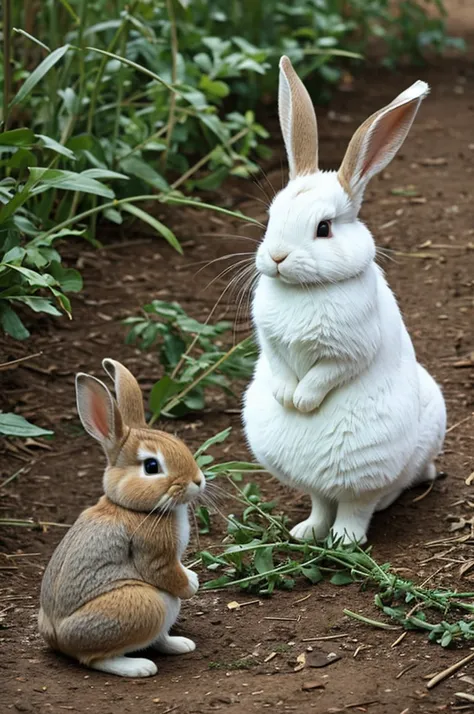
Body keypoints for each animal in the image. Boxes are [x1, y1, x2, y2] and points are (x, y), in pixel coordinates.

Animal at [38, 358, 205, 676]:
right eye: (151, 466)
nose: (198, 481)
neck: (131, 506)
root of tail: (57, 638)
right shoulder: (156, 554)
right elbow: (167, 573)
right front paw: (192, 585)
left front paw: (193, 578)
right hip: (145, 603)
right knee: (94, 659)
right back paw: (139, 667)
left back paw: (180, 645)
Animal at [243, 55, 446, 544]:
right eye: (271, 216)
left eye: (324, 228)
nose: (276, 257)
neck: (304, 288)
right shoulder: (270, 342)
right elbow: (280, 366)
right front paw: (287, 397)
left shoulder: (348, 349)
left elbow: (325, 375)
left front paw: (303, 403)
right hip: (312, 481)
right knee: (321, 500)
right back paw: (306, 533)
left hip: (370, 469)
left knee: (358, 505)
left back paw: (345, 540)